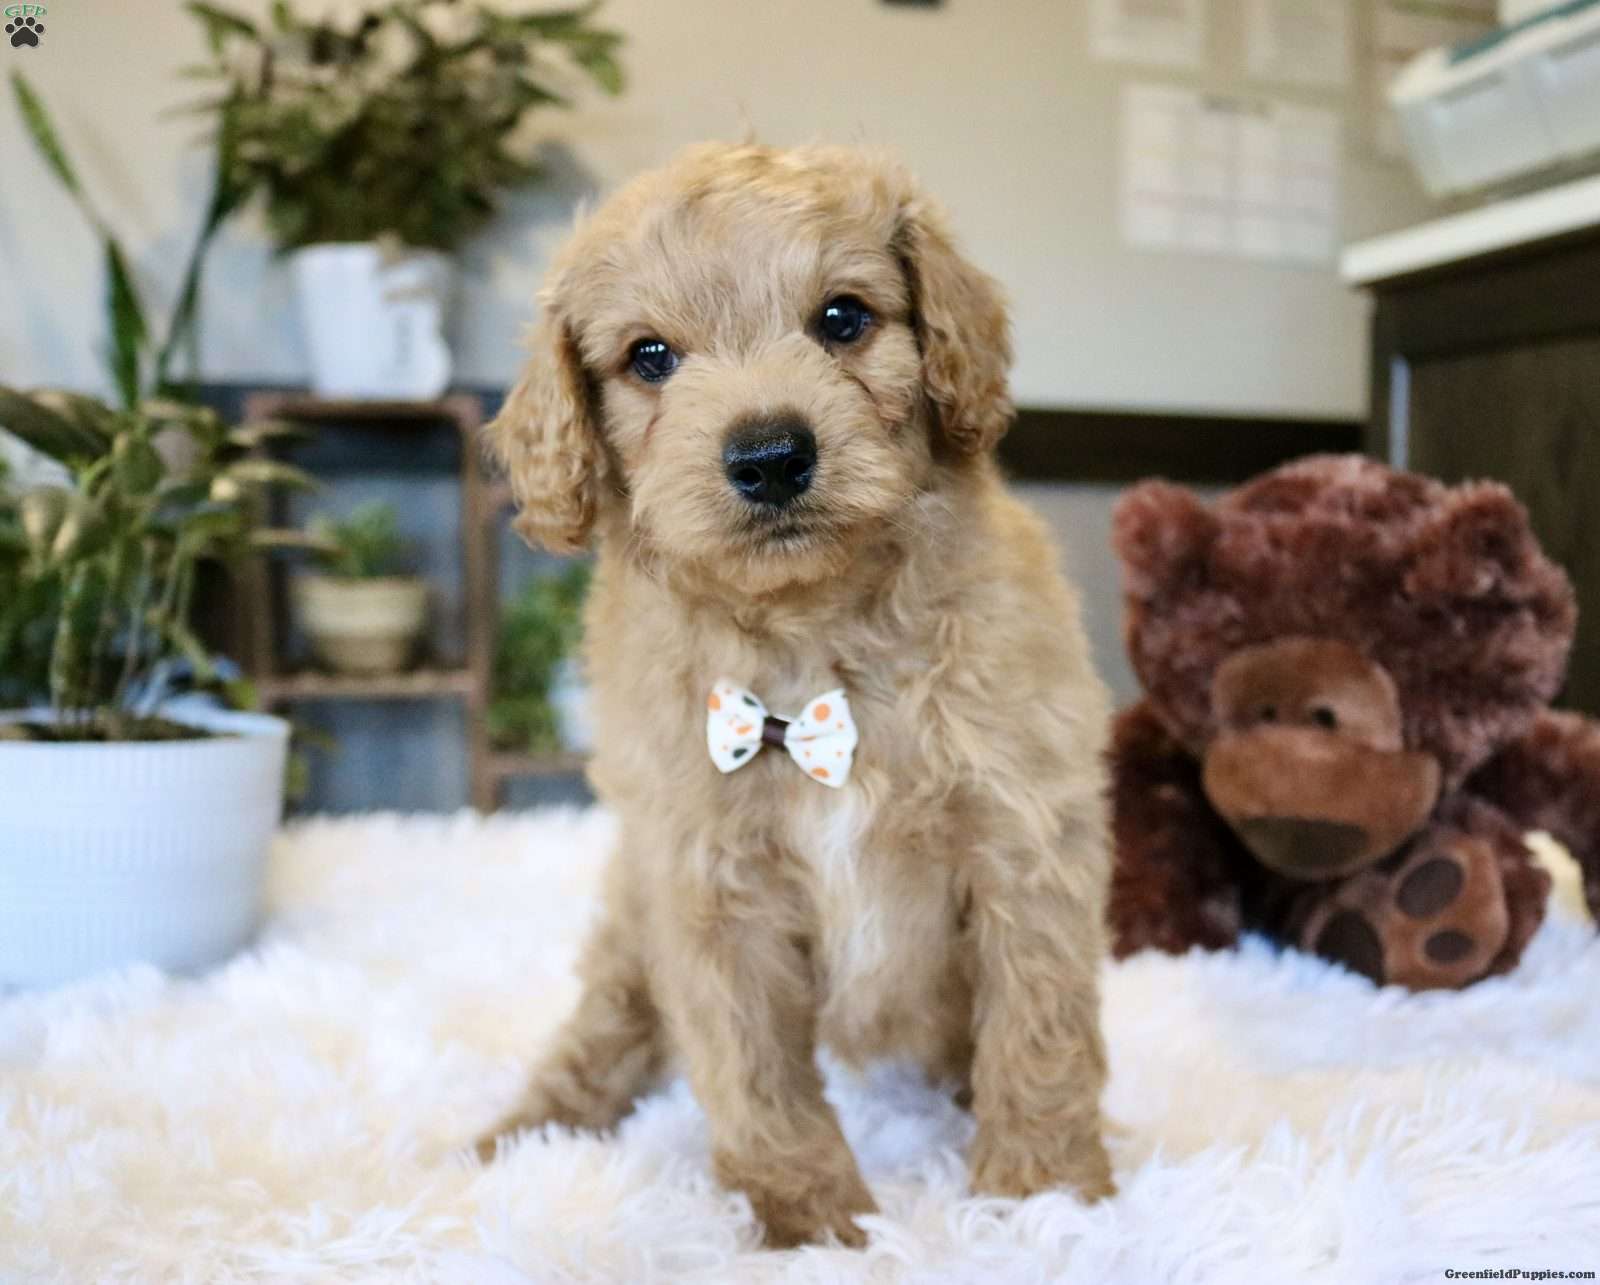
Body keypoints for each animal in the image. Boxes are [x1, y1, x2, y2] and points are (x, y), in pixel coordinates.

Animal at [478, 142, 1115, 1248]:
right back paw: (522, 1137)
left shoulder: (1025, 834)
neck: (813, 641)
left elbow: (1037, 1025)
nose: (770, 454)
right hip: (629, 919)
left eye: (843, 317)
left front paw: (1040, 1198)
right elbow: (753, 1069)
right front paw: (813, 1224)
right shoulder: (705, 883)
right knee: (603, 1029)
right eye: (649, 357)